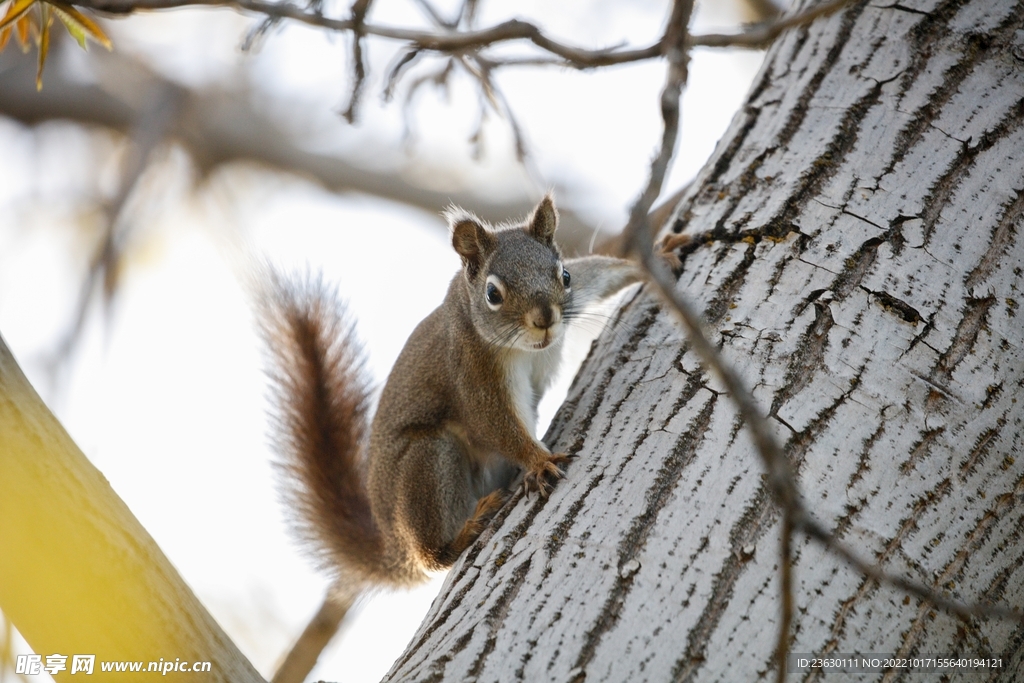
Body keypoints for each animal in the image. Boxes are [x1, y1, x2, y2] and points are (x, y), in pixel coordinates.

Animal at [262, 196, 647, 593]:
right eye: (493, 294)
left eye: (565, 276)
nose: (545, 319)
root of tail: (394, 543)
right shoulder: (470, 368)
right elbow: (494, 424)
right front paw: (538, 461)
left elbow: (598, 274)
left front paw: (653, 260)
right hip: (429, 461)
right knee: (433, 554)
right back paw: (467, 529)